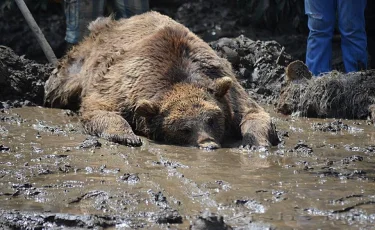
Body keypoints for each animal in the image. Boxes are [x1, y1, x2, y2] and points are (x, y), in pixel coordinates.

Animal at [43, 11, 280, 149]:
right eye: (184, 128)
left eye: (212, 120)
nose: (208, 144)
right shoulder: (121, 87)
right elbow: (99, 108)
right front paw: (128, 136)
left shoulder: (226, 86)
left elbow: (253, 113)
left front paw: (255, 143)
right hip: (80, 63)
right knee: (59, 84)